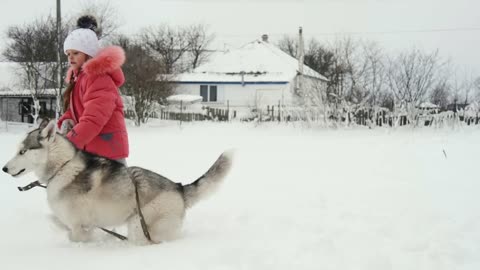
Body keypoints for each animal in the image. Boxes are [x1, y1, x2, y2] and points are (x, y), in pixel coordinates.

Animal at [1, 119, 233, 244]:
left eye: (22, 151)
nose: (4, 168)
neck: (62, 168)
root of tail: (178, 187)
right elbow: (57, 222)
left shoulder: (79, 226)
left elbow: (73, 235)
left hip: (139, 223)